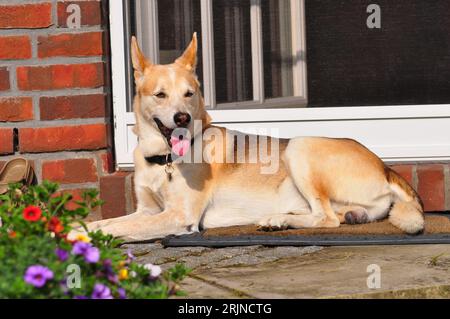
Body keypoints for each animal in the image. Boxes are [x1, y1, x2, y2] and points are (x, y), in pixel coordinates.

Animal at [86, 33, 424, 242]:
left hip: (299, 146)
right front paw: (81, 227)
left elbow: (115, 229)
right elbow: (105, 223)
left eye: (189, 94)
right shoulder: (147, 209)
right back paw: (281, 218)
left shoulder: (179, 216)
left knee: (327, 218)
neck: (163, 159)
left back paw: (281, 220)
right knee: (331, 215)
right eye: (160, 95)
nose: (182, 118)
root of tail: (386, 167)